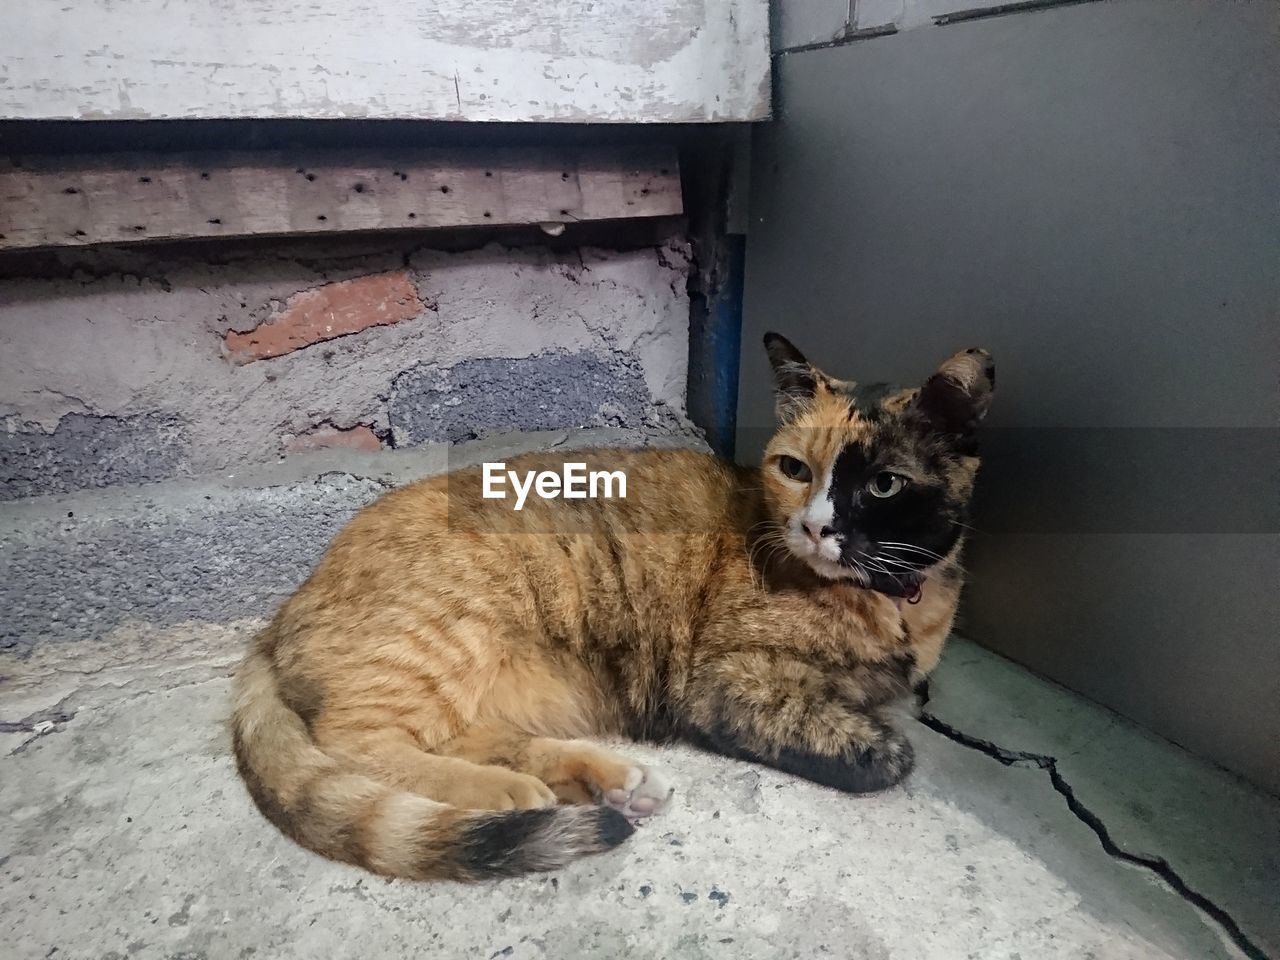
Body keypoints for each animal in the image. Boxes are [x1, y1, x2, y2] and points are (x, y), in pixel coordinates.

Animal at [232, 335, 988, 885]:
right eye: (795, 470)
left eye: (883, 484)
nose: (814, 526)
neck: (894, 601)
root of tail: (282, 612)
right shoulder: (728, 685)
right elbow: (888, 752)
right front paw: (881, 742)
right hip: (441, 639)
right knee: (357, 741)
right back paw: (512, 793)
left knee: (464, 737)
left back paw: (601, 783)